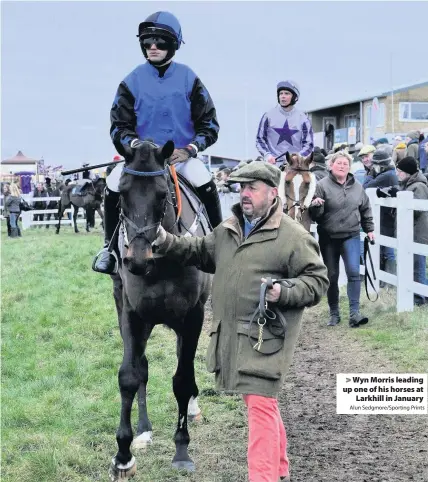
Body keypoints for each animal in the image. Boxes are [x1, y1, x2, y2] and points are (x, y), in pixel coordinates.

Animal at [108, 139, 211, 482]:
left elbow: (182, 379)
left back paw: (192, 409)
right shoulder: (132, 315)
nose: (138, 259)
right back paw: (144, 430)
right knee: (142, 368)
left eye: (162, 195)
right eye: (121, 193)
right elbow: (130, 375)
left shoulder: (193, 316)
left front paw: (181, 450)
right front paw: (123, 455)